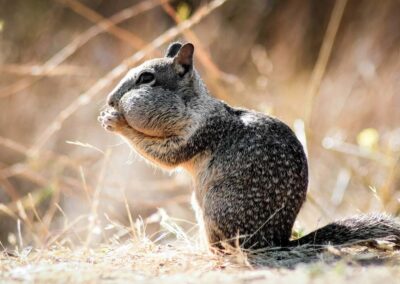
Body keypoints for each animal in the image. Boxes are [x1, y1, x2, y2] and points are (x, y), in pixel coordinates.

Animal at [99, 42, 400, 251]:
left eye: (146, 78)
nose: (110, 100)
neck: (195, 105)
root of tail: (279, 240)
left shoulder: (196, 134)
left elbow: (165, 156)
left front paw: (116, 121)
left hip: (216, 206)